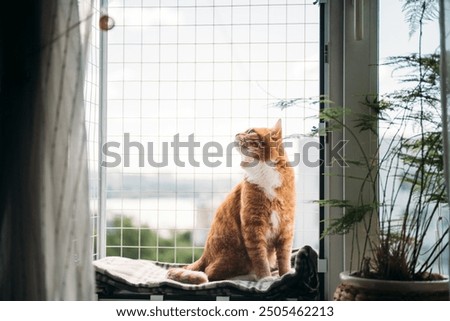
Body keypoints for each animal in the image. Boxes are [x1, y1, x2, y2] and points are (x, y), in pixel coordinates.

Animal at [167, 119, 298, 282]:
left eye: (250, 131)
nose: (236, 133)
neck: (264, 169)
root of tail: (204, 254)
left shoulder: (286, 226)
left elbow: (284, 258)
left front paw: (285, 275)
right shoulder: (254, 226)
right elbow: (260, 259)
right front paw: (265, 278)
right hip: (236, 256)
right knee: (211, 273)